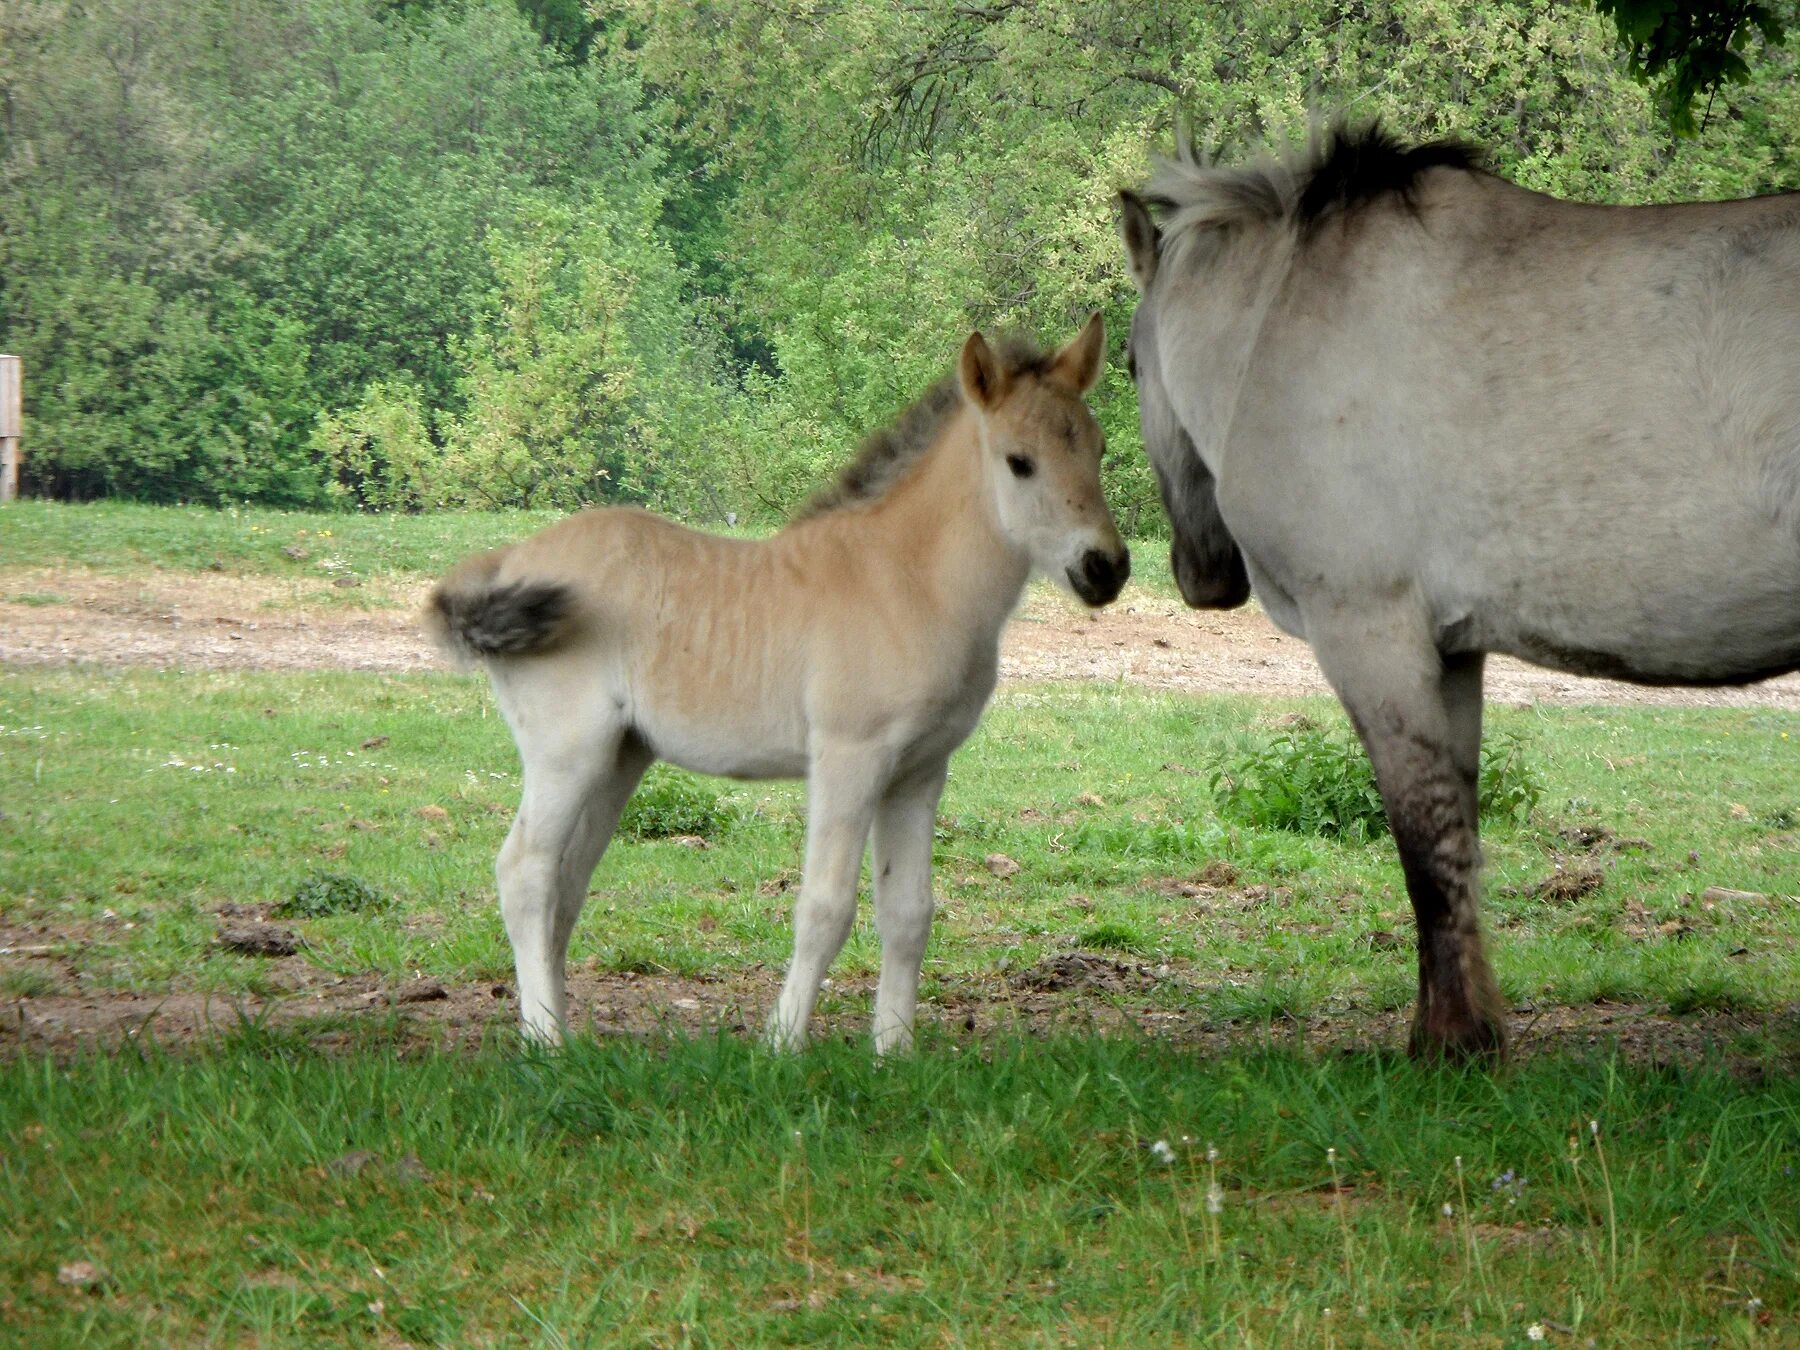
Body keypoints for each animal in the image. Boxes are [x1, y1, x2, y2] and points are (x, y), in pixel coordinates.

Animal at [432, 320, 1123, 1058]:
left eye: (1100, 446)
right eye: (1019, 461)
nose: (1105, 568)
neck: (909, 581)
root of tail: (506, 563)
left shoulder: (919, 771)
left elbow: (908, 911)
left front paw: (895, 1052)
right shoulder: (850, 758)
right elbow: (824, 907)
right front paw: (784, 1044)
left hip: (619, 759)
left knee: (567, 880)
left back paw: (561, 1028)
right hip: (567, 752)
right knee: (526, 872)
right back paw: (546, 1040)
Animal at [1116, 126, 1792, 1065]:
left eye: (1126, 361)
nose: (1201, 575)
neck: (1288, 310)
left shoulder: (1371, 636)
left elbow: (1423, 845)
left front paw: (1448, 1043)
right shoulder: (1453, 652)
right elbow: (1459, 841)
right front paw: (1471, 1028)